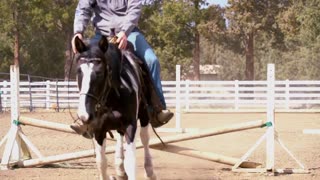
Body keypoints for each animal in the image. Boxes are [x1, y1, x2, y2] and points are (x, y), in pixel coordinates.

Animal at [74, 35, 156, 180]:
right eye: (79, 71)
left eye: (100, 73)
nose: (84, 115)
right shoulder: (98, 128)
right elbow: (101, 162)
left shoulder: (130, 124)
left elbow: (131, 161)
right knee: (120, 135)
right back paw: (120, 169)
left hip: (144, 113)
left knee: (145, 138)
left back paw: (149, 170)